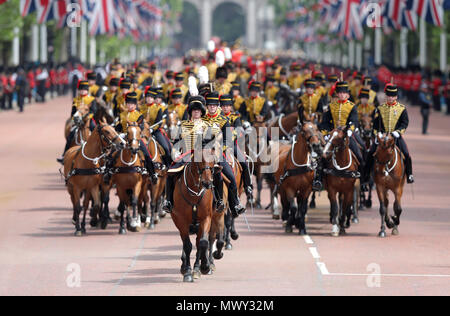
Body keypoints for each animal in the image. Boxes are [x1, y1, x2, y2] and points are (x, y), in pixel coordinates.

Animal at [171, 149, 216, 284]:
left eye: (214, 160)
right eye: (199, 160)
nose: (207, 183)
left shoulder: (206, 218)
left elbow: (203, 242)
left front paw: (204, 267)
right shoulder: (181, 221)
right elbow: (187, 245)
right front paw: (187, 272)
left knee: (199, 242)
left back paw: (197, 269)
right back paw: (186, 267)